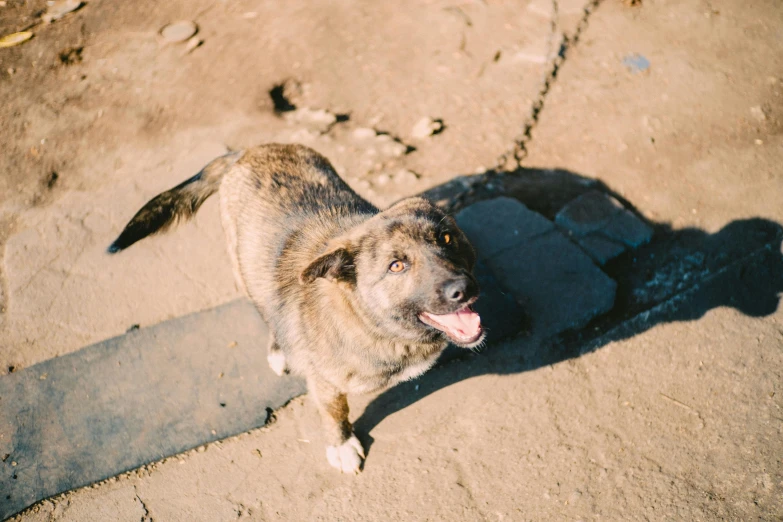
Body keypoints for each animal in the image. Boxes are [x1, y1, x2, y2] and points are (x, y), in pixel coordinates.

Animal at [109, 142, 484, 472]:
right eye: (396, 265)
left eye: (446, 238)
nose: (463, 289)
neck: (372, 323)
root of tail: (247, 151)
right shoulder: (326, 385)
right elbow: (335, 415)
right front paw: (341, 445)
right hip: (242, 269)